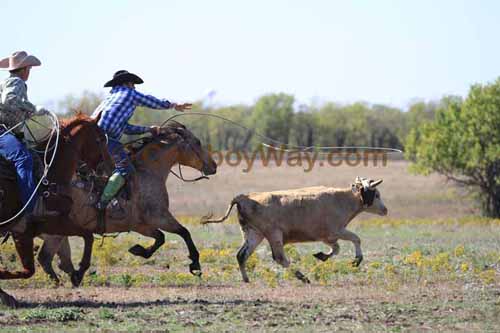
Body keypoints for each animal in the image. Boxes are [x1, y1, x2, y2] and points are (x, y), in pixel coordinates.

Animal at [0, 113, 111, 306]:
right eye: (100, 140)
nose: (109, 167)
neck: (49, 177)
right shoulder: (43, 226)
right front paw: (78, 272)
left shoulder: (37, 228)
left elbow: (87, 237)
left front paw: (76, 274)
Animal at [37, 122, 217, 286]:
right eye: (198, 142)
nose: (214, 166)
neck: (146, 173)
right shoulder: (160, 217)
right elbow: (184, 232)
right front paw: (195, 265)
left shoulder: (140, 225)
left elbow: (160, 237)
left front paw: (138, 250)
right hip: (56, 234)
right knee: (46, 258)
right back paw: (66, 280)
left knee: (57, 261)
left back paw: (72, 277)